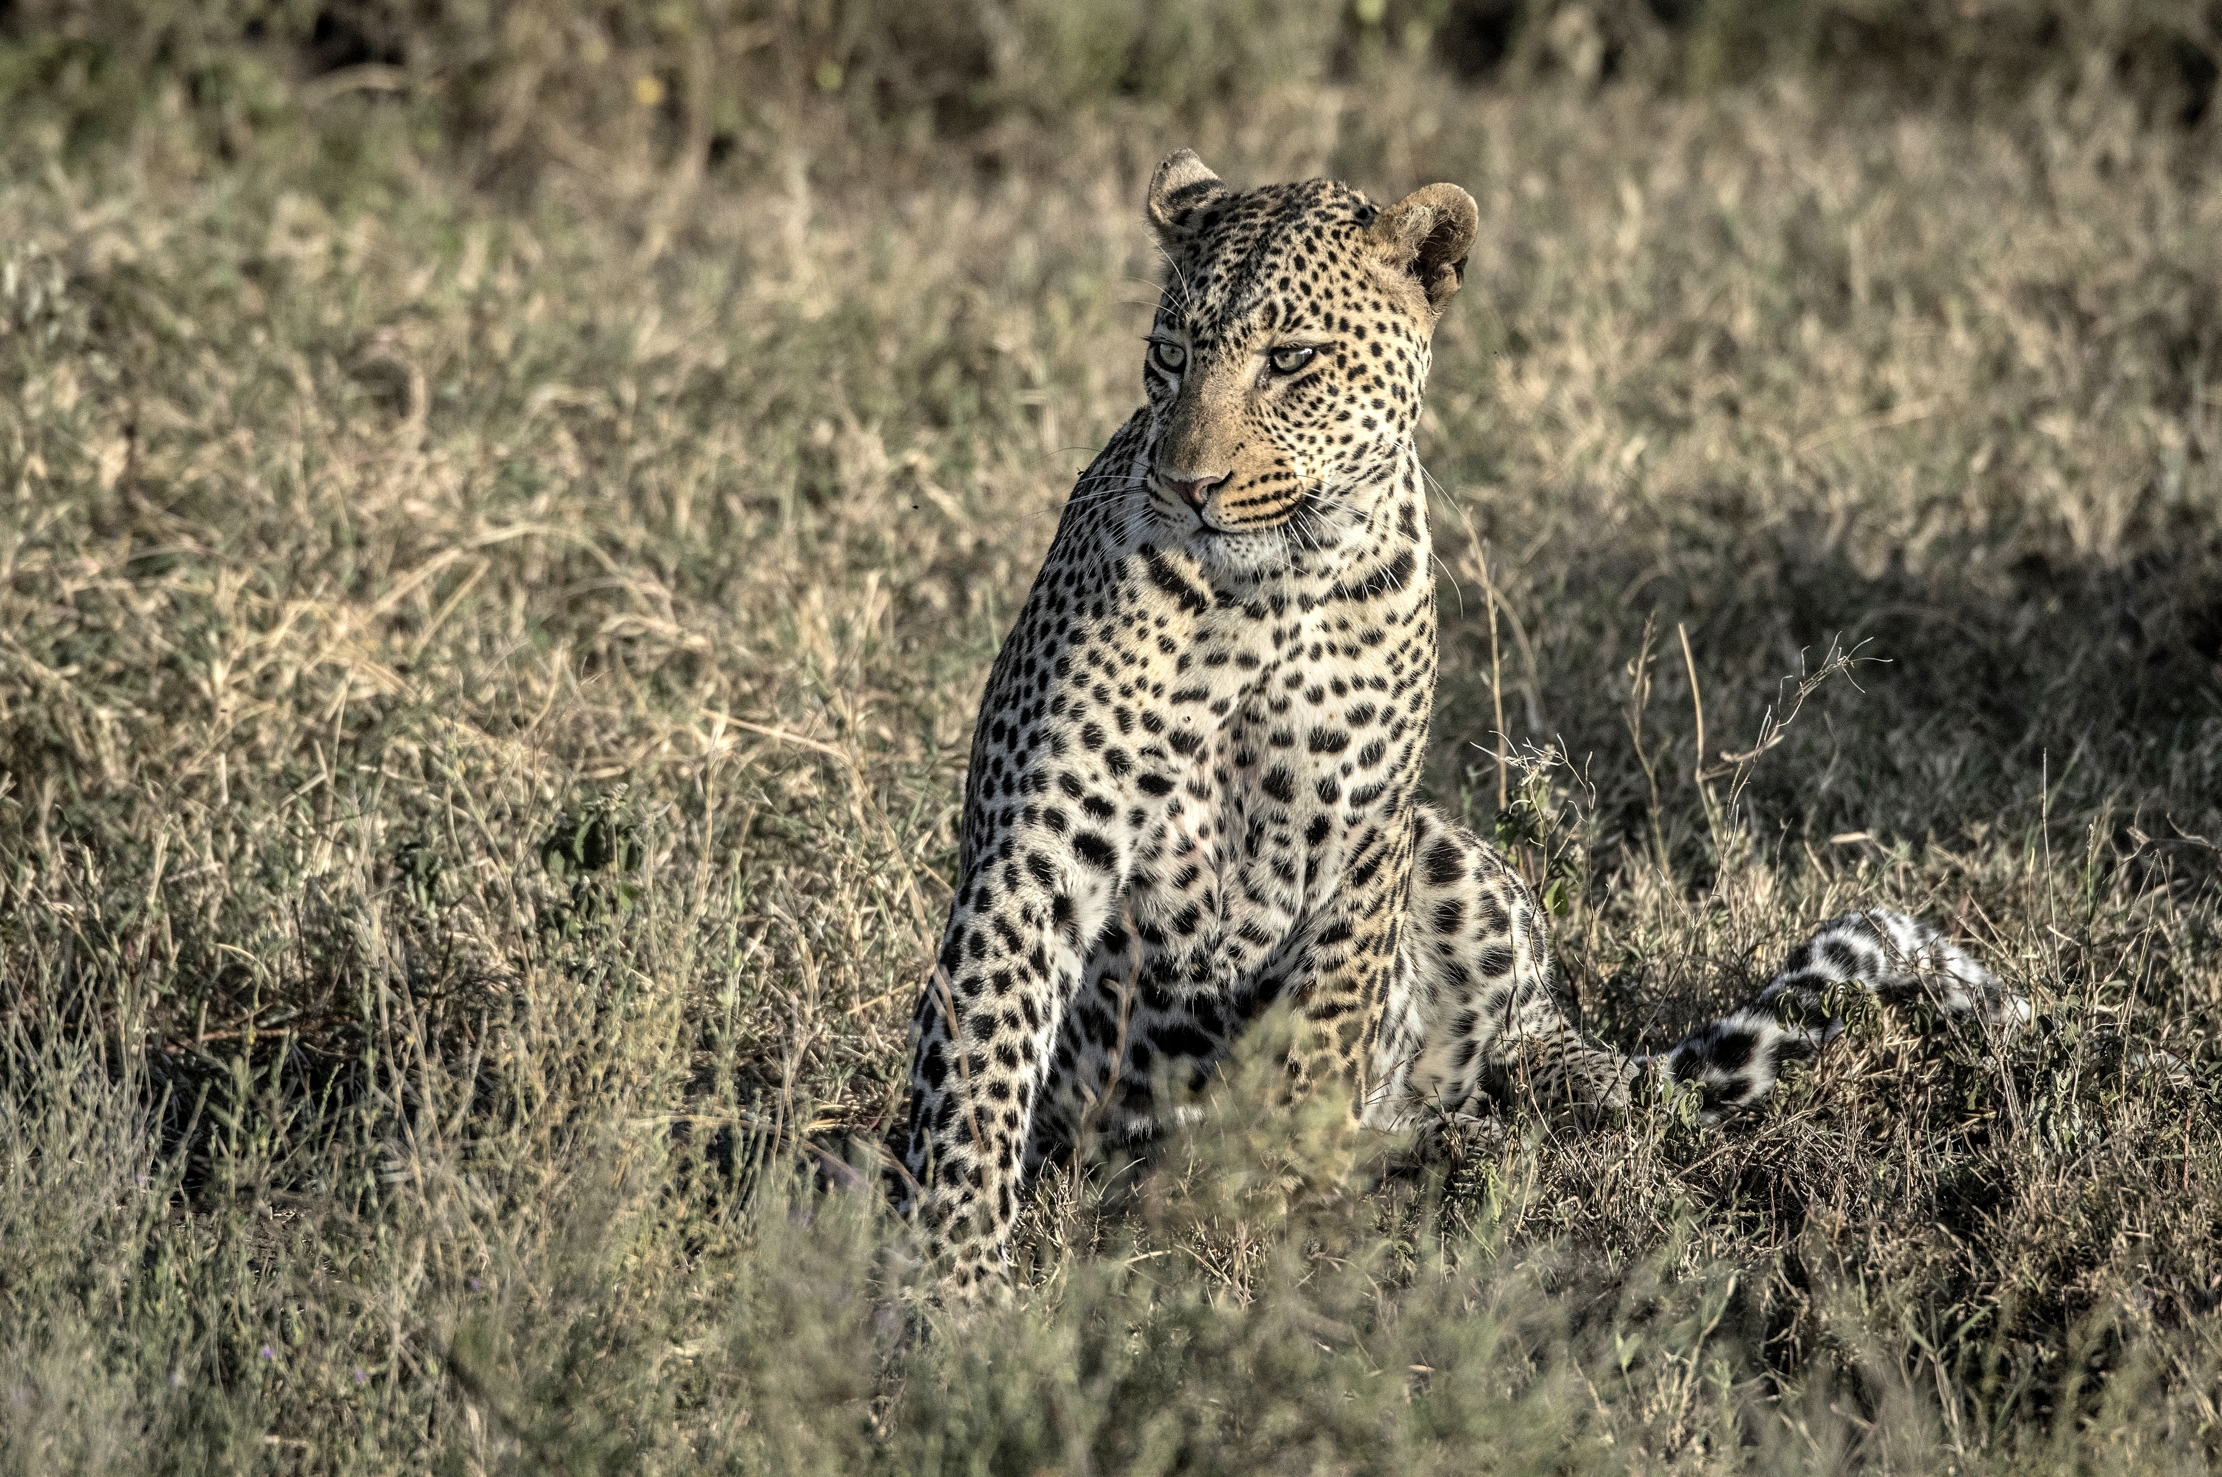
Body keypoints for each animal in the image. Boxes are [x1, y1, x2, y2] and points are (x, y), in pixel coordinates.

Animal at [897, 150, 2025, 1294]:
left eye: (1290, 360)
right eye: (1168, 357)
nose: (1188, 484)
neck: (1265, 594)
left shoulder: (1357, 849)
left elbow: (1316, 1045)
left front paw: (1261, 1203)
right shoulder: (1037, 846)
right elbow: (980, 1056)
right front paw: (951, 1280)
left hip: (1450, 854)